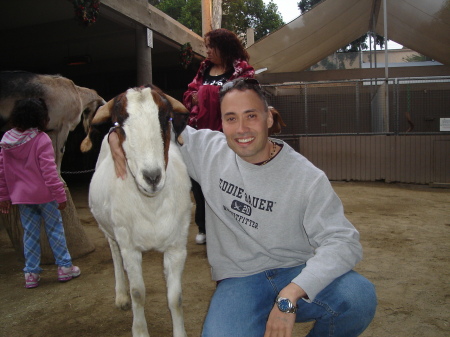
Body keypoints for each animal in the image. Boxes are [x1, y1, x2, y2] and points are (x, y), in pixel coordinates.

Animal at [89, 86, 192, 336]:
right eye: (119, 123)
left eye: (166, 118)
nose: (152, 177)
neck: (151, 205)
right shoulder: (129, 247)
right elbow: (138, 293)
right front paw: (140, 330)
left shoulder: (177, 247)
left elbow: (176, 298)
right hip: (109, 230)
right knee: (115, 256)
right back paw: (121, 296)